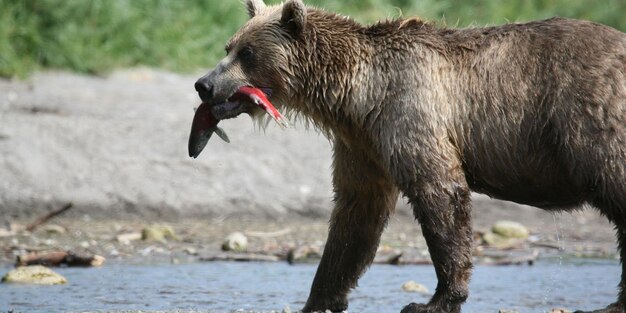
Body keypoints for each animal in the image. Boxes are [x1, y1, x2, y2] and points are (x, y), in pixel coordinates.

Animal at [191, 0, 624, 312]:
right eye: (229, 46)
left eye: (247, 52)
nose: (203, 83)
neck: (357, 96)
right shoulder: (363, 145)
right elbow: (355, 217)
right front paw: (319, 298)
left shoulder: (411, 111)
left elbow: (439, 194)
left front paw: (433, 300)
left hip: (590, 119)